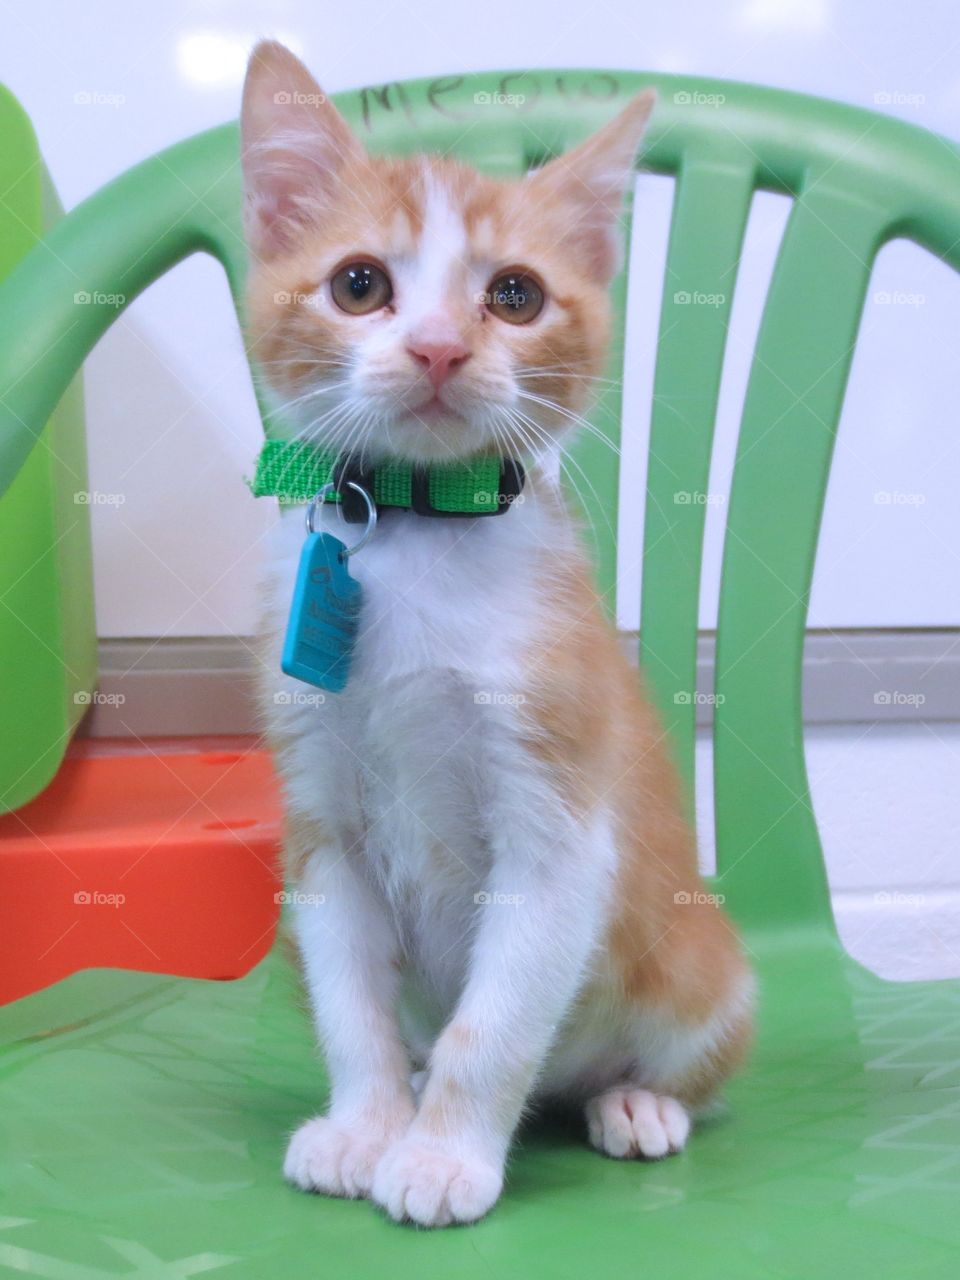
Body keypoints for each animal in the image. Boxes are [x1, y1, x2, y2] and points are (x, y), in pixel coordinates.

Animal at [239, 42, 752, 1228]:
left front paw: (441, 1155)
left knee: (668, 1061)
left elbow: (498, 1022)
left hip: (703, 969)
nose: (436, 348)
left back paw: (635, 1102)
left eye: (514, 295)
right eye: (359, 283)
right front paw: (368, 1121)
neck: (422, 536)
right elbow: (349, 1001)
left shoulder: (559, 825)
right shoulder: (322, 818)